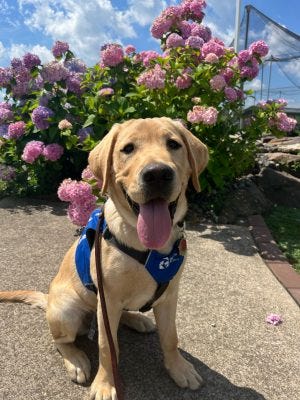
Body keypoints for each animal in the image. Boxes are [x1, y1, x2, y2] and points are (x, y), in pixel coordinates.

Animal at [0, 117, 209, 400]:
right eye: (128, 149)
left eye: (173, 144)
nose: (157, 174)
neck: (148, 248)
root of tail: (49, 299)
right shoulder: (107, 299)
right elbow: (107, 347)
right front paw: (105, 384)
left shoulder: (169, 295)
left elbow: (170, 337)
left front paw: (178, 368)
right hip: (67, 311)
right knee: (61, 341)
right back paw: (76, 360)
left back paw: (137, 319)